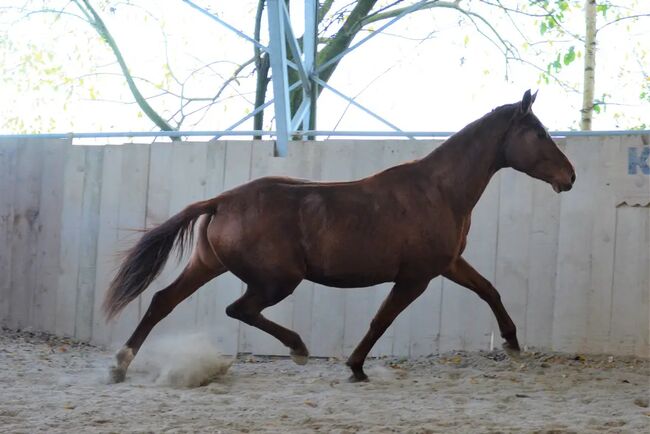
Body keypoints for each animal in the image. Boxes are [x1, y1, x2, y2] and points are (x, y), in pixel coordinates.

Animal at [105, 91, 572, 384]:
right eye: (540, 133)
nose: (569, 176)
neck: (438, 190)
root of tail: (222, 200)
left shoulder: (448, 264)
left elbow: (489, 290)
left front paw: (512, 343)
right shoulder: (416, 277)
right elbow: (382, 319)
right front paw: (356, 367)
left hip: (208, 264)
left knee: (163, 301)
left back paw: (120, 365)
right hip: (277, 280)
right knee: (239, 309)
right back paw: (298, 349)